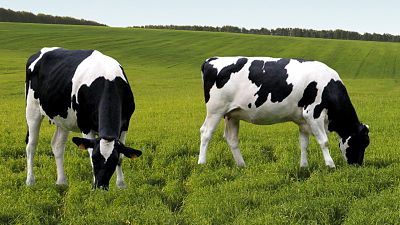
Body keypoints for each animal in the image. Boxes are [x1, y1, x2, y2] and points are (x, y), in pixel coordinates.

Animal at [24, 48, 141, 190]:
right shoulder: (85, 125)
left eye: (112, 161)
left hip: (63, 119)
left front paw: (121, 185)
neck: (108, 79)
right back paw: (30, 181)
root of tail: (40, 51)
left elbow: (122, 156)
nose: (100, 186)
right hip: (32, 110)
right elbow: (89, 152)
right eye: (95, 159)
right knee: (31, 145)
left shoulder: (125, 125)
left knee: (57, 145)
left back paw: (61, 182)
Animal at [198, 57, 370, 168]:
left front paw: (304, 166)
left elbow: (304, 144)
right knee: (206, 133)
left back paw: (241, 165)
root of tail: (212, 60)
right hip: (215, 110)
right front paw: (330, 165)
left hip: (232, 114)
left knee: (232, 138)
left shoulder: (303, 120)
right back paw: (202, 163)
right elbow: (324, 141)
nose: (358, 165)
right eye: (361, 142)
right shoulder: (313, 113)